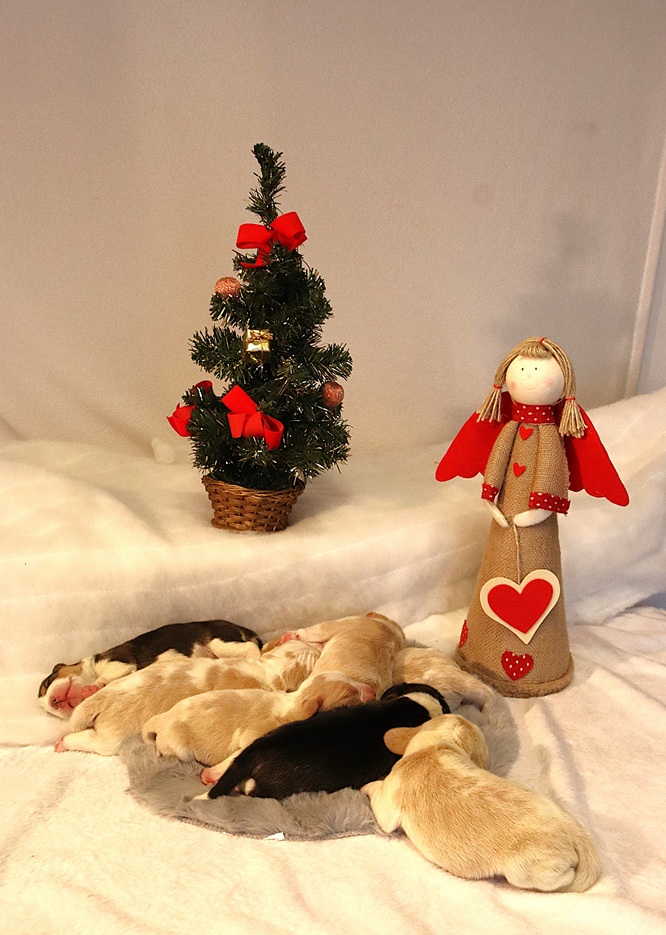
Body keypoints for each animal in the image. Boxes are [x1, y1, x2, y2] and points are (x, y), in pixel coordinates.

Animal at [39, 619, 262, 719]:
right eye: (51, 712)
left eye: (48, 683)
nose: (53, 702)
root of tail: (240, 627)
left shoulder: (117, 661)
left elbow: (104, 678)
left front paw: (92, 687)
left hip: (220, 641)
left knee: (251, 649)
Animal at [55, 638, 322, 756]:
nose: (317, 647)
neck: (272, 669)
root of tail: (103, 699)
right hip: (112, 737)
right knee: (91, 742)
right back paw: (63, 743)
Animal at [143, 670, 375, 783]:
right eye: (348, 694)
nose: (373, 691)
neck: (294, 704)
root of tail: (162, 718)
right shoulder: (253, 736)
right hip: (179, 745)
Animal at [362, 714, 600, 893]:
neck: (435, 746)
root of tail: (574, 831)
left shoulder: (386, 809)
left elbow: (375, 789)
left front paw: (365, 786)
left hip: (526, 871)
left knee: (563, 878)